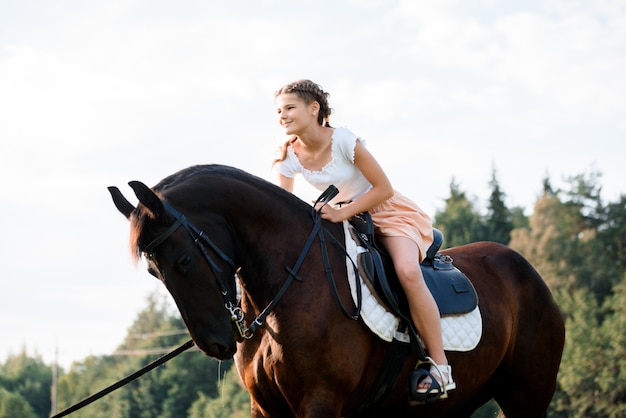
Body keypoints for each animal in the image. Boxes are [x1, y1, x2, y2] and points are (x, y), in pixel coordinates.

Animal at [109, 165, 564, 416]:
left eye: (184, 261)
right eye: (153, 271)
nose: (216, 343)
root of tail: (528, 272)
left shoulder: (320, 402)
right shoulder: (266, 408)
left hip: (526, 399)